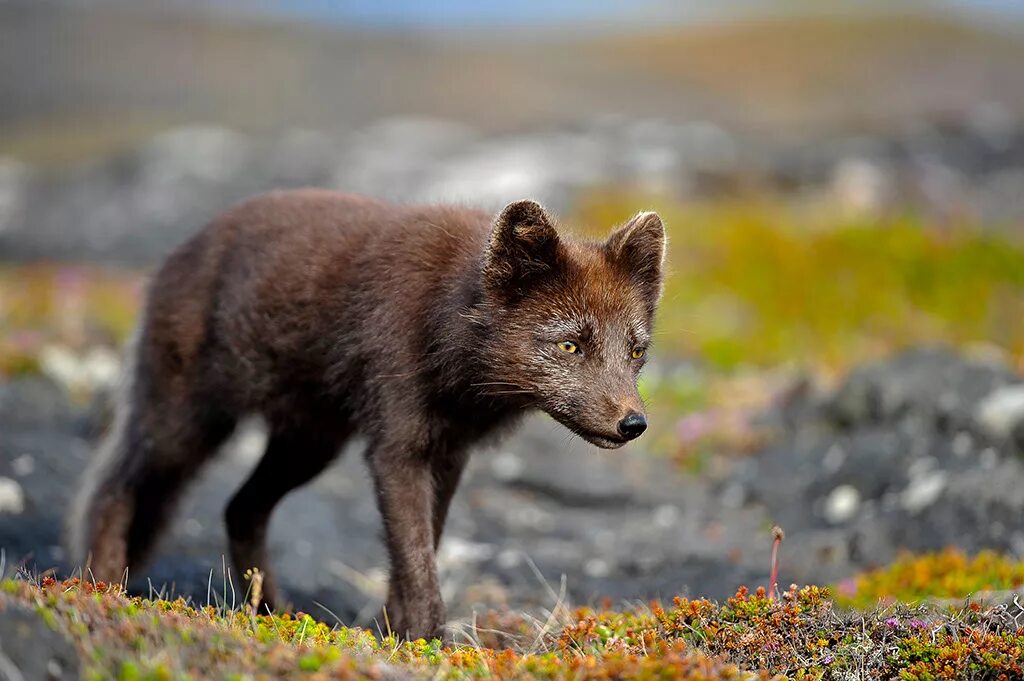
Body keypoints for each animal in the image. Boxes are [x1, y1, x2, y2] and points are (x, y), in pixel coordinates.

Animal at [68, 188, 667, 639]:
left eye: (636, 351)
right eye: (570, 346)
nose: (634, 425)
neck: (442, 323)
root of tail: (180, 251)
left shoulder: (448, 456)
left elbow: (418, 554)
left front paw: (394, 635)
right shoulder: (396, 451)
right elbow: (417, 563)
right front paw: (428, 644)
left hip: (308, 445)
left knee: (240, 508)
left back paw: (271, 616)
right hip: (187, 426)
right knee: (117, 487)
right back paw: (102, 589)